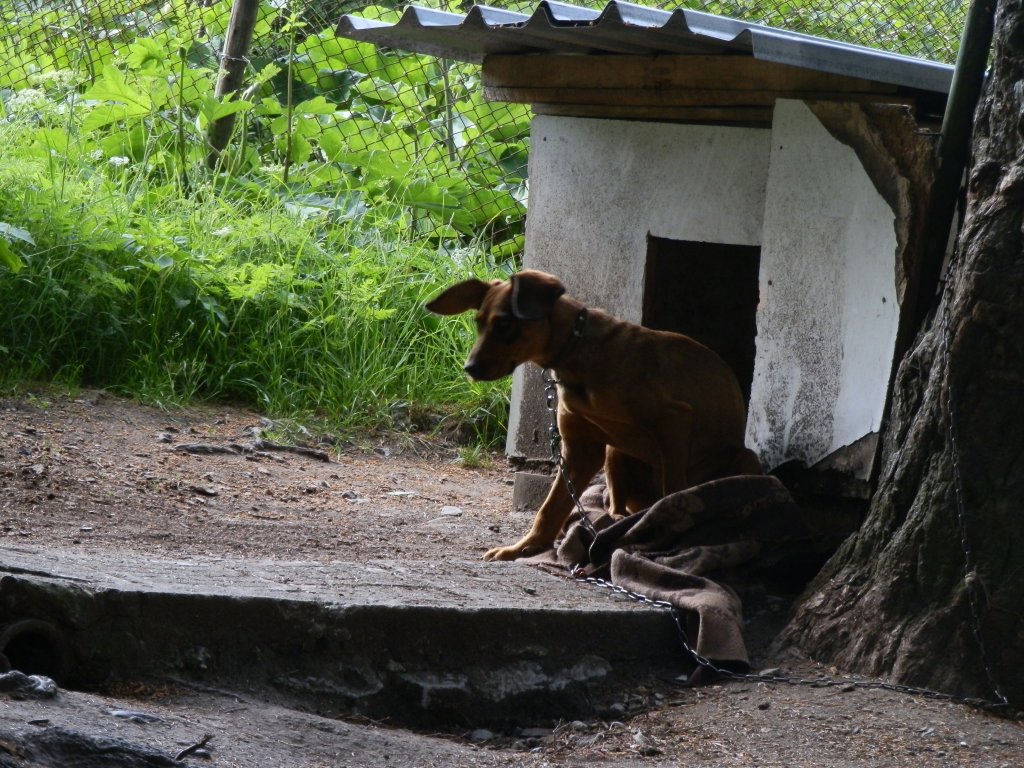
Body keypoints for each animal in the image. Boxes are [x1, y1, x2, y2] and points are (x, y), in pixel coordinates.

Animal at [423, 270, 761, 561]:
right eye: (478, 322)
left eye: (504, 323)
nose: (470, 369)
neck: (578, 350)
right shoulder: (580, 452)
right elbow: (550, 509)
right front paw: (524, 548)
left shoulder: (674, 419)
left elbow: (673, 492)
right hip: (615, 452)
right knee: (616, 505)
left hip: (745, 459)